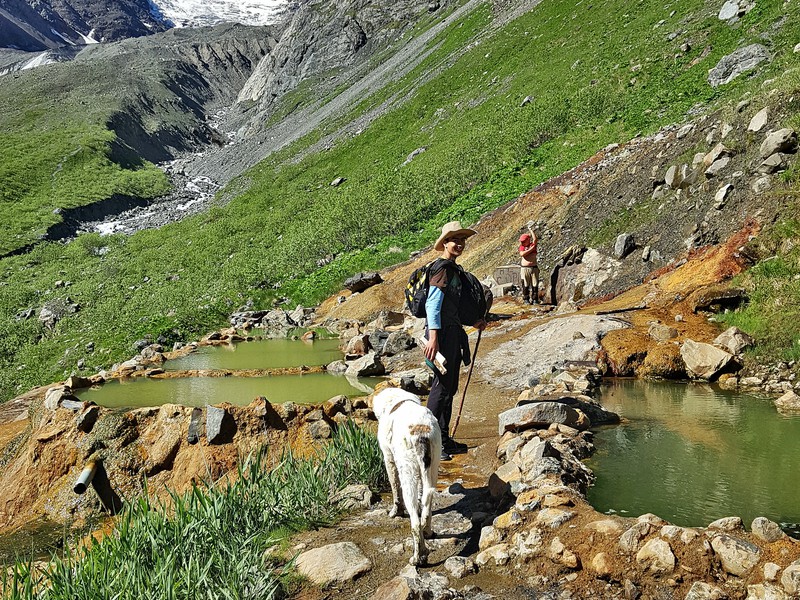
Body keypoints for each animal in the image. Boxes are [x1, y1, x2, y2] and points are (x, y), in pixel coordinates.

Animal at [370, 386, 440, 564]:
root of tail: (422, 431)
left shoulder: (389, 458)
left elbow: (395, 488)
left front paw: (396, 512)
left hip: (408, 473)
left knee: (415, 522)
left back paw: (418, 557)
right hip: (432, 466)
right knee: (426, 507)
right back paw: (427, 532)